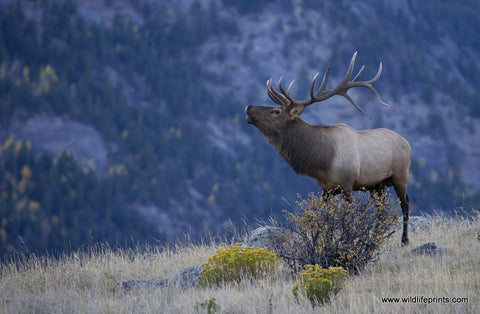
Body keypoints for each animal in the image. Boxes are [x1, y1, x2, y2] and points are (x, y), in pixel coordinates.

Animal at [246, 51, 410, 245]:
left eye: (276, 111)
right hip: (378, 185)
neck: (323, 159)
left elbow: (352, 217)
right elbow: (328, 220)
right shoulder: (326, 190)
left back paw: (404, 240)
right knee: (383, 212)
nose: (248, 107)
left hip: (400, 175)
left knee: (405, 204)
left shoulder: (347, 184)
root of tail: (407, 143)